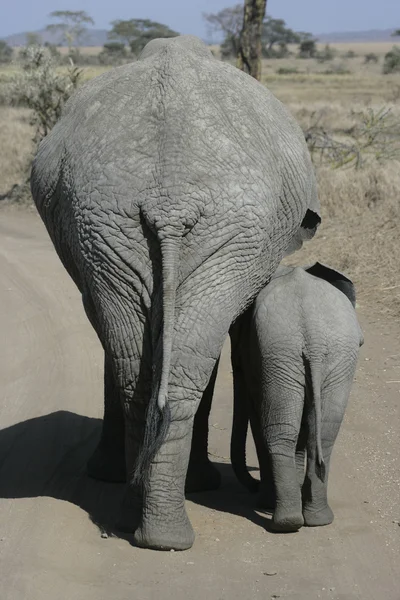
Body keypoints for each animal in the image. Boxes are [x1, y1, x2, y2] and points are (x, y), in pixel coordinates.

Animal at [30, 34, 318, 548]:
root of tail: (170, 200)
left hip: (115, 223)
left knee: (145, 369)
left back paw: (145, 528)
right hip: (125, 224)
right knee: (168, 367)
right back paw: (163, 531)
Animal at [230, 260, 364, 532]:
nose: (253, 485)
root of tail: (313, 335)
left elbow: (258, 417)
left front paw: (265, 502)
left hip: (287, 351)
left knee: (280, 432)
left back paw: (286, 521)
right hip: (317, 356)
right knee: (323, 434)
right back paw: (314, 520)